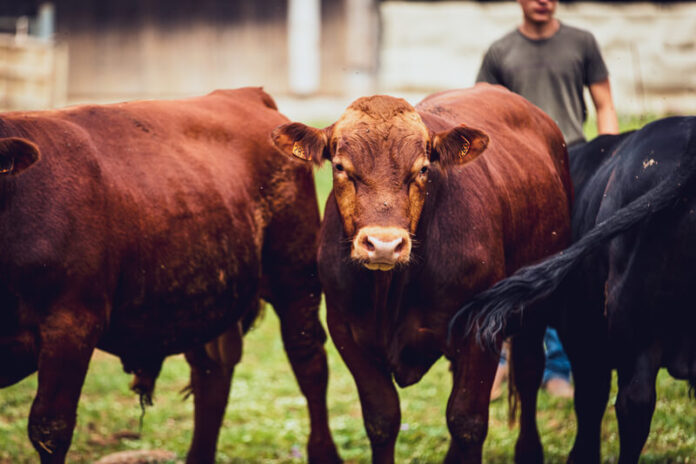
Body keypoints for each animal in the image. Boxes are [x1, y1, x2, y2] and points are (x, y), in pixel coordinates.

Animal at [0, 88, 338, 464]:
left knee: (308, 360)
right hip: (210, 287)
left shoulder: (71, 324)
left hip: (295, 276)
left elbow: (50, 428)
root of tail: (245, 95)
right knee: (212, 375)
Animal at [272, 84, 572, 464]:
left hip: (537, 306)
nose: (384, 245)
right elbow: (382, 419)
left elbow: (467, 422)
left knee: (530, 370)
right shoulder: (346, 329)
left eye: (423, 169)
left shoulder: (481, 328)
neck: (390, 291)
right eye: (340, 167)